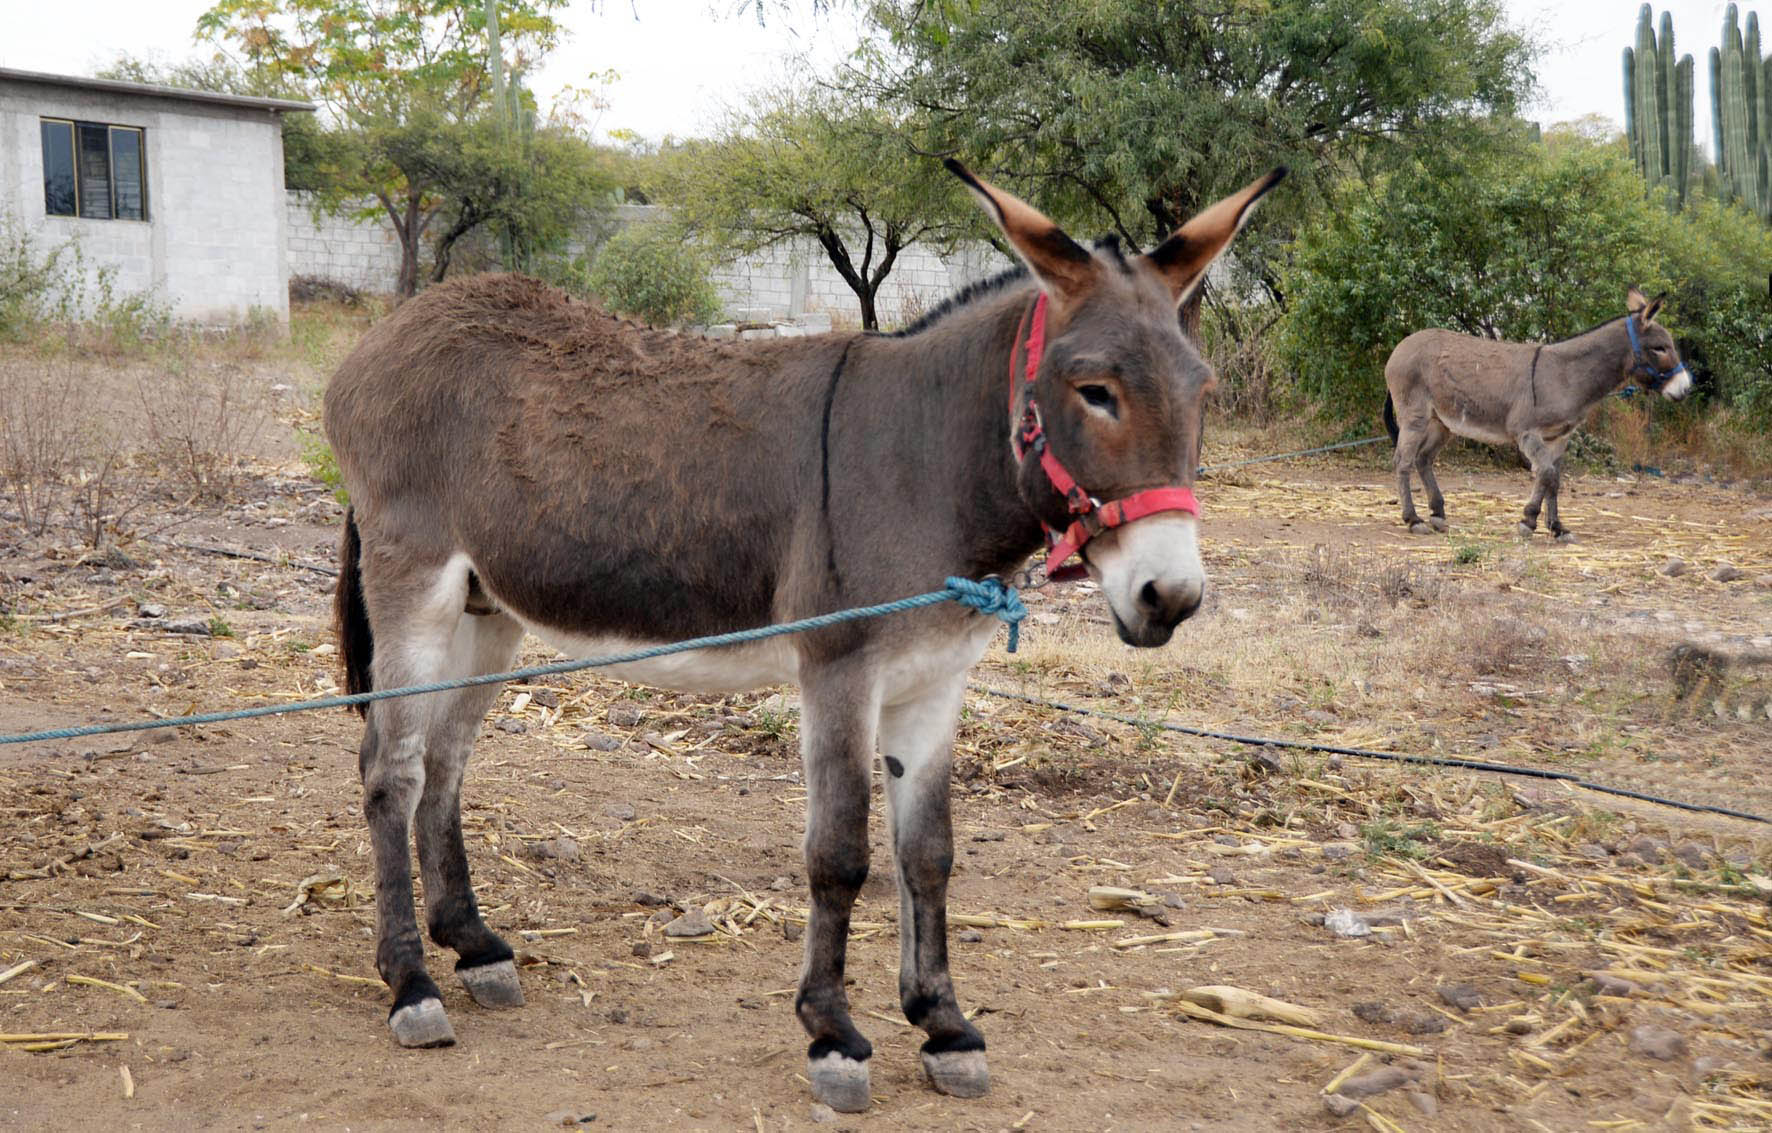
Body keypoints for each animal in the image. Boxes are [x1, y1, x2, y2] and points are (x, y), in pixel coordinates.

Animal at [320, 159, 1283, 1112]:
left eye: (1202, 392)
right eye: (1095, 391)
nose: (1170, 597)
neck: (926, 460)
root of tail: (396, 328)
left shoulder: (936, 681)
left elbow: (927, 853)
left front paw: (945, 1025)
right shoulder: (839, 671)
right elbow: (840, 855)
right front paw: (835, 1036)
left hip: (491, 610)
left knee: (445, 761)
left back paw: (474, 946)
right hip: (416, 583)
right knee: (391, 770)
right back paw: (411, 983)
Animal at [1382, 288, 1690, 542]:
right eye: (1660, 348)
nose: (1685, 388)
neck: (1566, 375)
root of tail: (1401, 346)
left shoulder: (1559, 437)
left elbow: (1553, 478)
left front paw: (1556, 527)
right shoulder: (1527, 433)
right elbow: (1547, 473)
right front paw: (1528, 521)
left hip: (1441, 422)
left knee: (1423, 459)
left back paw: (1437, 515)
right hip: (1415, 416)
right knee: (1403, 461)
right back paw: (1413, 520)